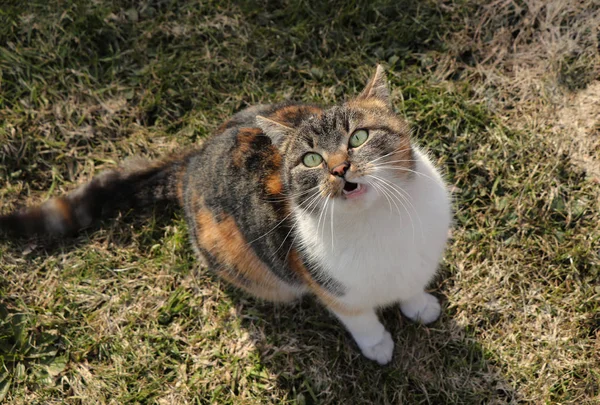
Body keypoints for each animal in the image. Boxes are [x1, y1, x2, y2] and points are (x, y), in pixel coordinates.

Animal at [0, 65, 450, 362]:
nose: (339, 169)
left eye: (359, 137)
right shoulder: (324, 280)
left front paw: (418, 305)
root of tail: (191, 163)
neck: (379, 222)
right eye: (311, 159)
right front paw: (378, 345)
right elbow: (358, 317)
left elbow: (411, 285)